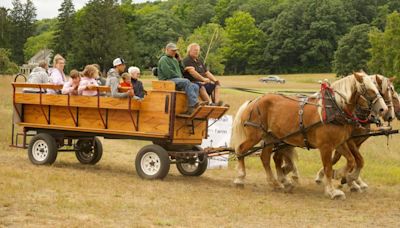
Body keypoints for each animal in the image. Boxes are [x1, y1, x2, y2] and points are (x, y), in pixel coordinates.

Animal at [231, 72, 388, 199]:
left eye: (377, 88)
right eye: (369, 90)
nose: (383, 109)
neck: (335, 109)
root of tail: (254, 101)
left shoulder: (341, 143)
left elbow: (351, 161)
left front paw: (342, 176)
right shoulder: (326, 146)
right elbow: (328, 167)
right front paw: (332, 190)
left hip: (271, 138)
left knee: (265, 157)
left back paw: (276, 183)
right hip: (255, 135)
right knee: (241, 150)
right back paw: (240, 178)